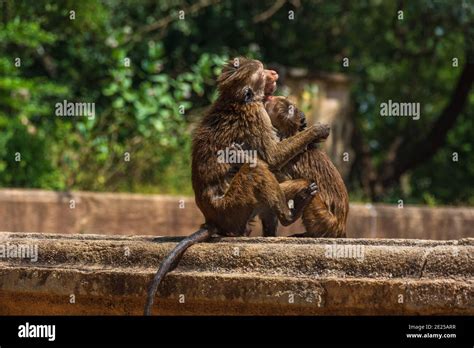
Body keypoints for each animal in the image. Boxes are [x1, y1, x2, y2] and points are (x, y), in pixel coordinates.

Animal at [144, 57, 330, 316]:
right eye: (262, 72)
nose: (274, 72)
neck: (236, 100)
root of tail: (212, 220)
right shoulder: (257, 114)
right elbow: (272, 157)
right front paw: (317, 130)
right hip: (234, 206)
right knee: (256, 169)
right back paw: (289, 215)